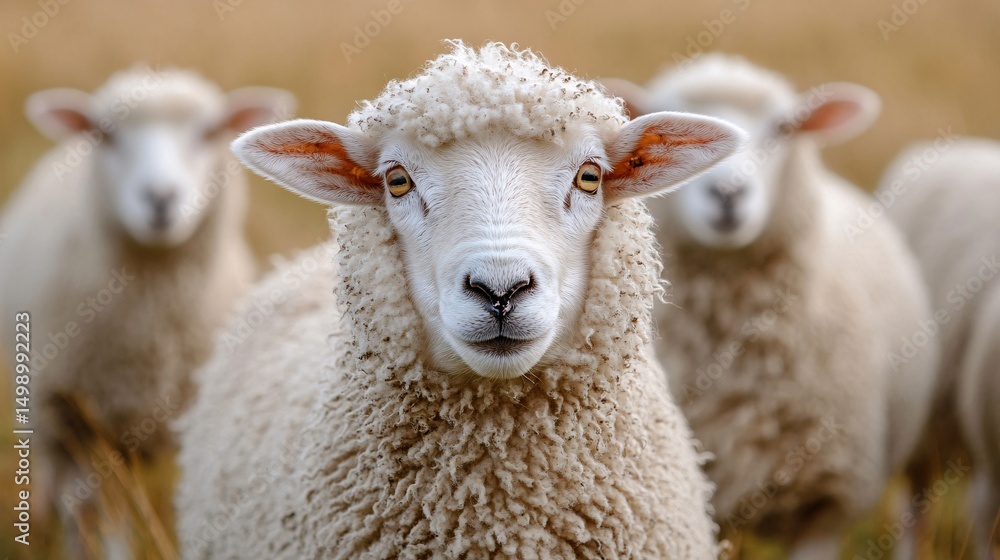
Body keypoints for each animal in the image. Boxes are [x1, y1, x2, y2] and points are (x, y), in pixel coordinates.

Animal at [0, 66, 294, 556]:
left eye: (209, 132)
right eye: (105, 134)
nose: (159, 197)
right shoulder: (88, 429)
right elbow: (109, 526)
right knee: (72, 507)